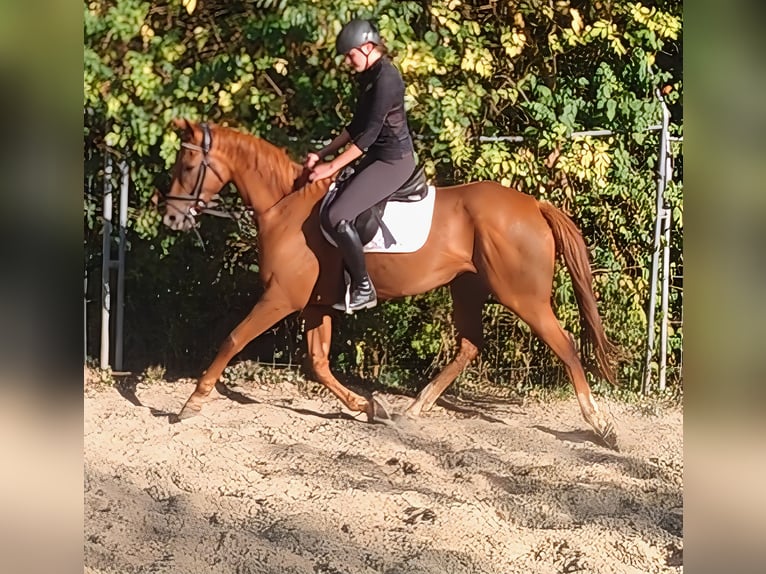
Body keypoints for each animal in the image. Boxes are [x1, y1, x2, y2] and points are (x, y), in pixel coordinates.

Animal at [158, 119, 621, 448]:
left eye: (187, 166)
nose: (171, 218)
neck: (284, 207)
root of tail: (534, 204)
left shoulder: (281, 298)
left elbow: (234, 339)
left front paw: (192, 402)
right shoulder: (316, 306)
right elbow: (318, 364)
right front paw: (368, 407)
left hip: (523, 297)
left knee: (564, 345)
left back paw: (600, 425)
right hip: (467, 288)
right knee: (470, 345)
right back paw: (414, 408)